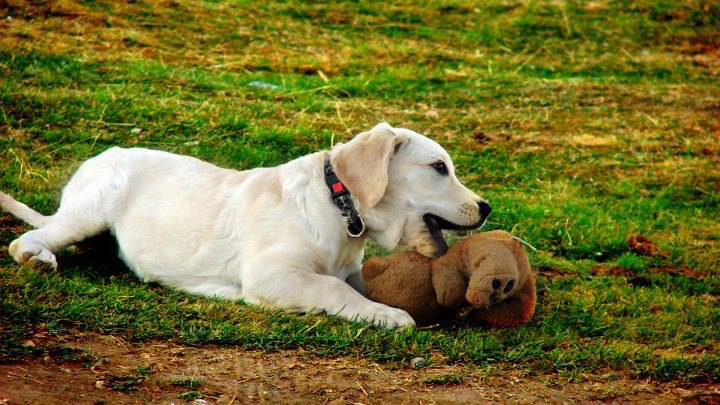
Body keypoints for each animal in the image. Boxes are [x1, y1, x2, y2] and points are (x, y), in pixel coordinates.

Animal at [0, 123, 490, 328]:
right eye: (439, 168)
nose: (485, 208)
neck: (338, 207)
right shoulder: (273, 275)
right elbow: (333, 289)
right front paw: (388, 315)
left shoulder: (348, 270)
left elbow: (352, 284)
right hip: (90, 211)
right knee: (26, 240)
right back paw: (38, 257)